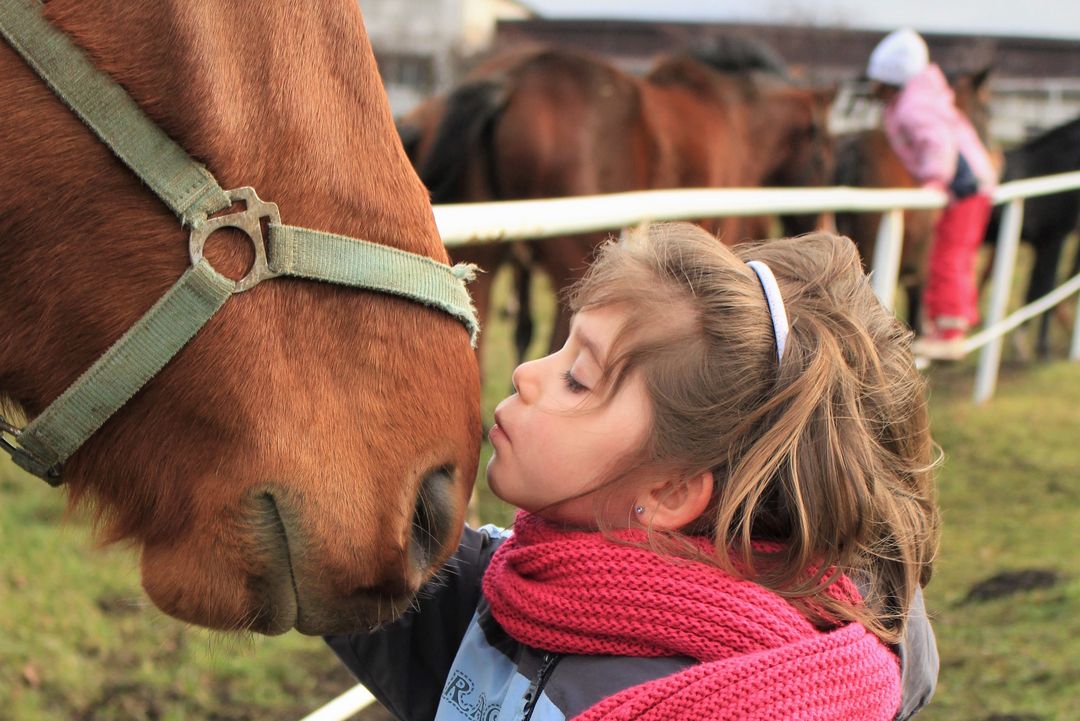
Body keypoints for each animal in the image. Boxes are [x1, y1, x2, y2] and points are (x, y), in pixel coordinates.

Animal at [406, 38, 833, 362]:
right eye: (824, 152)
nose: (823, 228)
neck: (737, 117)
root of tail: (511, 80)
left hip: (489, 258)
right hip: (572, 261)